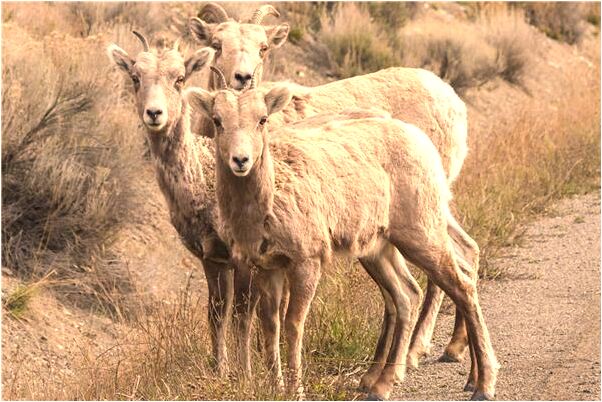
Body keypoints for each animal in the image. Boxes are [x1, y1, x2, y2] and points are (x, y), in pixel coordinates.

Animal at [185, 82, 494, 402]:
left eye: (262, 119)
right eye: (218, 121)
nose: (240, 160)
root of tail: (420, 141)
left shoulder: (306, 261)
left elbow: (293, 324)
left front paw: (295, 390)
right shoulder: (268, 267)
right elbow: (270, 324)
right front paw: (275, 386)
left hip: (422, 234)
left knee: (461, 287)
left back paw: (481, 384)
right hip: (379, 248)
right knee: (407, 294)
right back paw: (382, 386)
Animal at [188, 3, 474, 368]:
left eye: (263, 48)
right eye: (216, 44)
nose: (243, 78)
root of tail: (453, 99)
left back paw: (414, 352)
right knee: (466, 252)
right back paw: (452, 347)